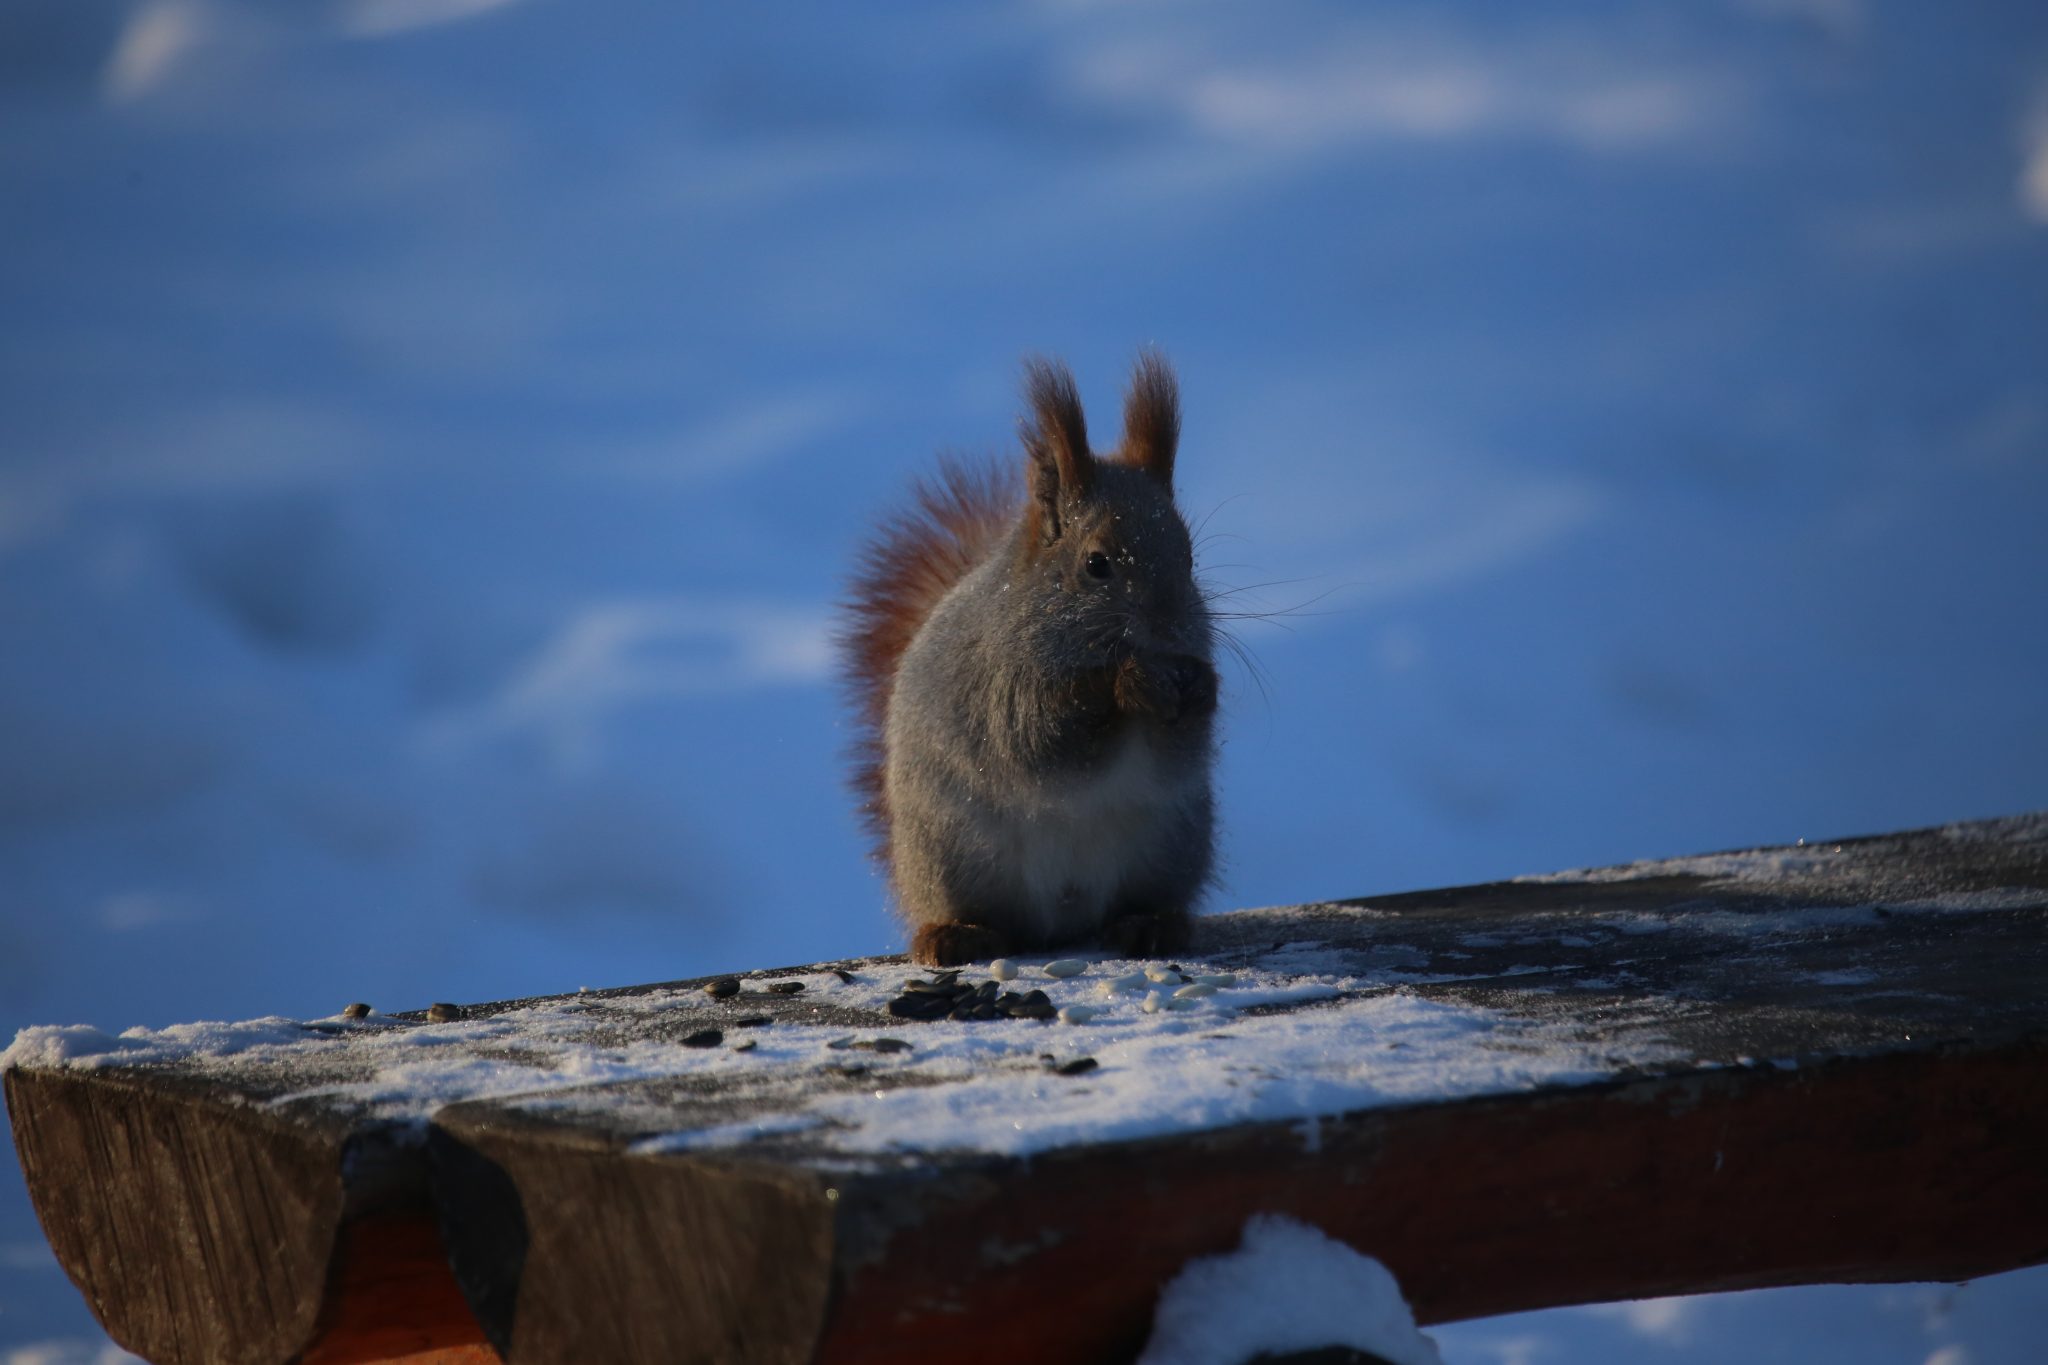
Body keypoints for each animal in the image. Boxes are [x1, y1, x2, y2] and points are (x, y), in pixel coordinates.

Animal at [843, 356, 1212, 970]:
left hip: (1171, 848)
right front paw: (1130, 684)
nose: (1169, 630)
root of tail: (1061, 921)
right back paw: (957, 934)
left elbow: (1178, 759)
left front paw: (1203, 688)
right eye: (1097, 564)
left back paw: (1151, 923)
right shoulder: (999, 689)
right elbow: (1044, 743)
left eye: (1188, 558)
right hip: (947, 854)